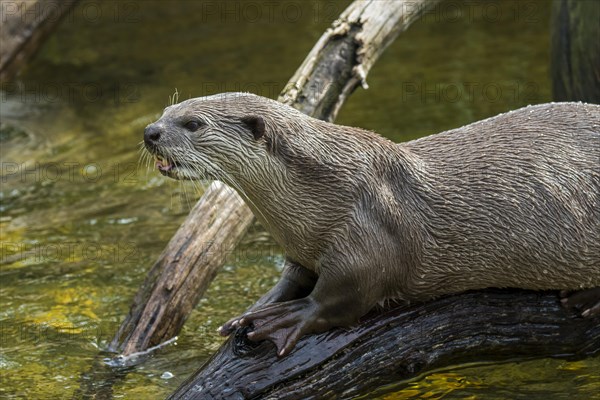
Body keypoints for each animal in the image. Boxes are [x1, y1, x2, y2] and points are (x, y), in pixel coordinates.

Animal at [144, 94, 600, 356]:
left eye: (193, 123)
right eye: (166, 111)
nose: (150, 131)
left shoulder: (368, 228)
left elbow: (346, 294)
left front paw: (286, 317)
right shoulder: (300, 250)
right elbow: (292, 278)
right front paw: (250, 312)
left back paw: (584, 300)